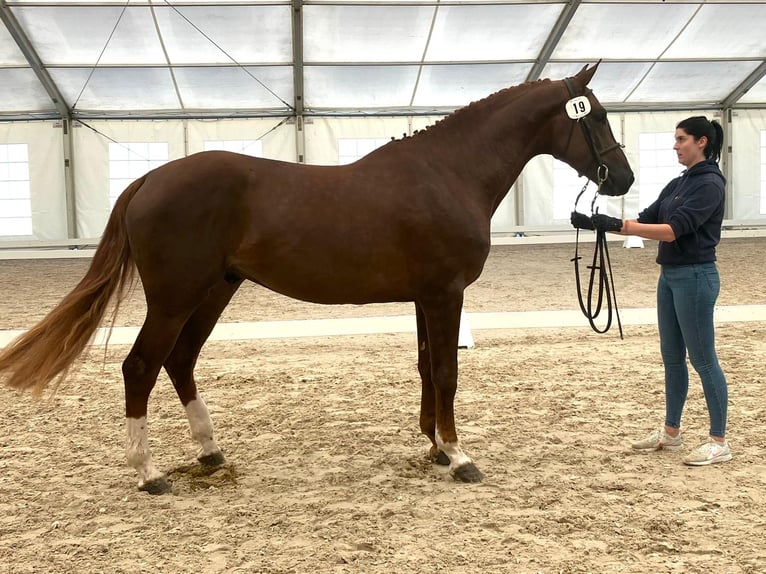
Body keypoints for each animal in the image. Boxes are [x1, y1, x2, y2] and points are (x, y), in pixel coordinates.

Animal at [0, 63, 633, 494]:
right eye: (597, 116)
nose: (623, 179)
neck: (448, 172)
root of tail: (150, 179)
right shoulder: (444, 294)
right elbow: (446, 372)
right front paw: (458, 456)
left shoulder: (425, 299)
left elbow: (426, 367)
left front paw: (433, 446)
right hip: (176, 297)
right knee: (140, 367)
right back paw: (149, 473)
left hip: (215, 291)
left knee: (180, 361)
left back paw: (211, 452)